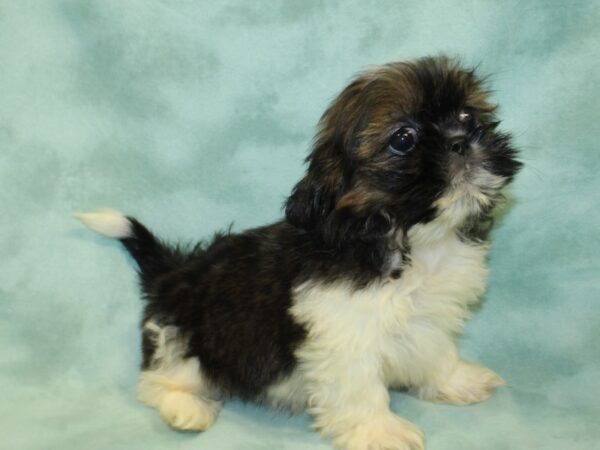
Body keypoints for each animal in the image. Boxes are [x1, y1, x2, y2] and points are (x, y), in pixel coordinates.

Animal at [78, 57, 520, 450]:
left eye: (467, 115)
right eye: (403, 139)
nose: (460, 140)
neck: (407, 237)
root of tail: (174, 273)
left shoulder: (429, 317)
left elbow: (436, 350)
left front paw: (455, 381)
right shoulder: (345, 330)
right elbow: (360, 387)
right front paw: (378, 431)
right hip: (183, 337)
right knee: (158, 380)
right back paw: (185, 407)